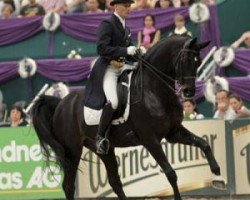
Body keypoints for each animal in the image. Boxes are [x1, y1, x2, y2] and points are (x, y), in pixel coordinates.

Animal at [31, 36, 225, 200]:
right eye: (185, 60)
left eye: (198, 62)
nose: (189, 92)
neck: (154, 91)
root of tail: (61, 103)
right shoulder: (150, 140)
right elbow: (171, 173)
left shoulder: (173, 132)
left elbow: (204, 143)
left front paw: (217, 175)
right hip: (72, 151)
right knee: (68, 185)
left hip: (103, 149)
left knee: (114, 182)